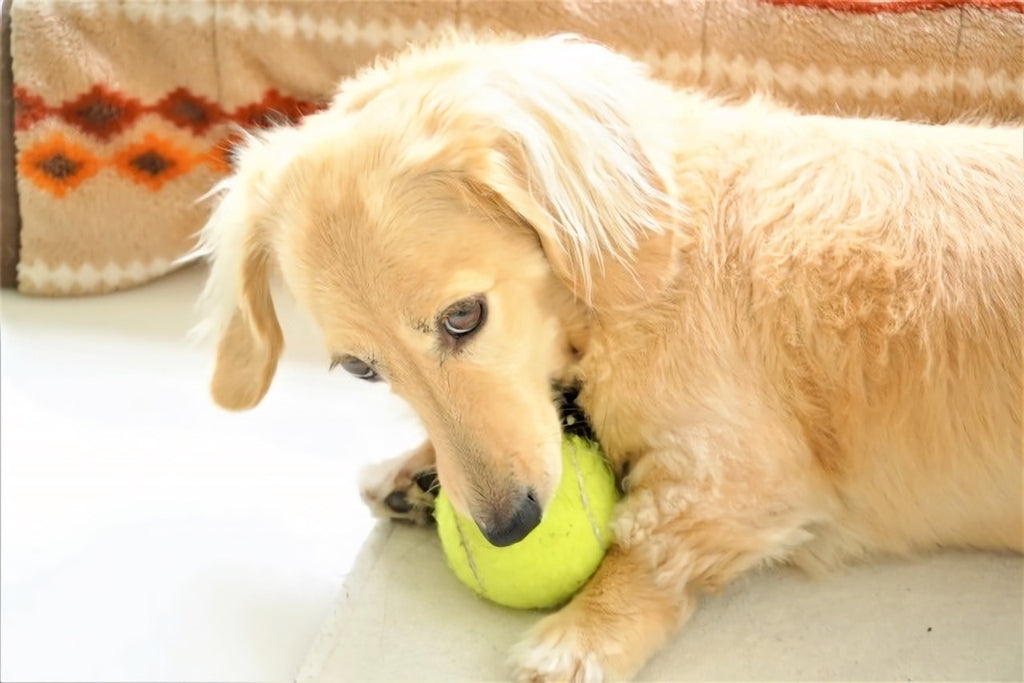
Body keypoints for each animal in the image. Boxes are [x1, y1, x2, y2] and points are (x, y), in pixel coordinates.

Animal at [193, 33, 1024, 683]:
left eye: (464, 316)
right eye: (363, 369)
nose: (507, 529)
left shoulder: (752, 475)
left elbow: (650, 540)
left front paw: (584, 634)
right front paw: (415, 473)